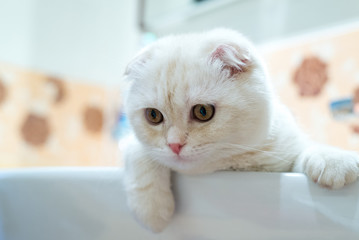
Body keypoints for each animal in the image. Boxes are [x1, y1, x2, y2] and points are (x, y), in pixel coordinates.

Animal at [122, 28, 359, 232]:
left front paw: (333, 159)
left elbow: (306, 149)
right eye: (153, 116)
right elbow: (138, 152)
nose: (174, 145)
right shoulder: (132, 143)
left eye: (203, 111)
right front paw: (151, 208)